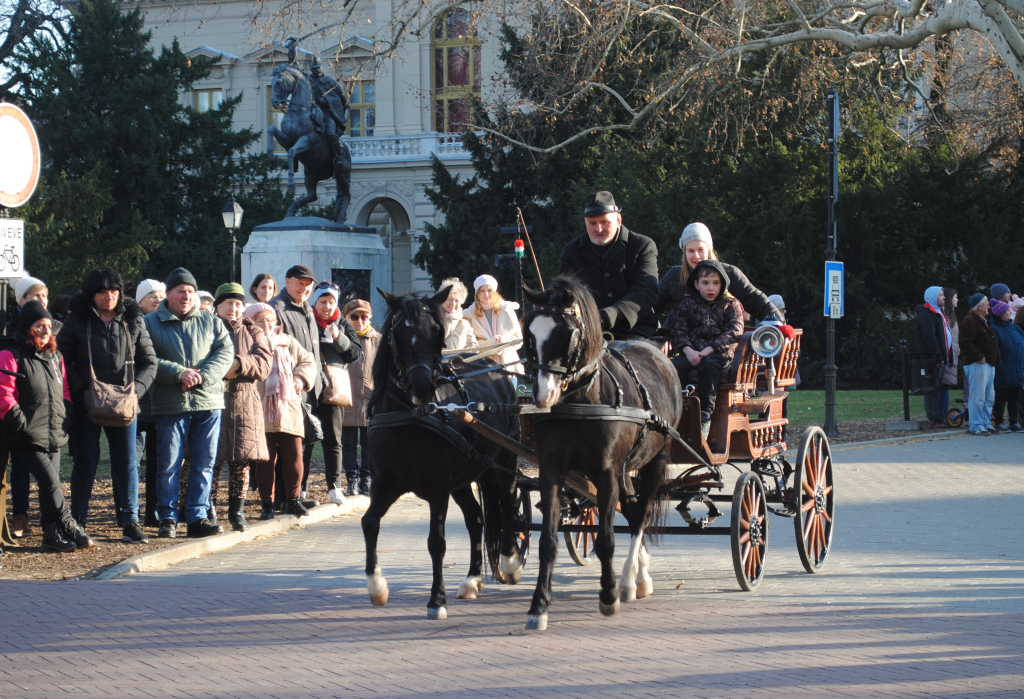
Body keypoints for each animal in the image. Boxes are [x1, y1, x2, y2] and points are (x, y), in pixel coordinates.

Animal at [360, 286, 524, 622]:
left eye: (437, 331)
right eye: (399, 333)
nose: (422, 387)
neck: (411, 416)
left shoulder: (438, 488)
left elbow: (436, 542)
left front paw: (436, 600)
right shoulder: (384, 483)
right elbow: (369, 523)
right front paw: (376, 585)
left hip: (503, 463)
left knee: (508, 504)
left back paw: (510, 561)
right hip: (463, 478)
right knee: (476, 518)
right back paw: (472, 580)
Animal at [524, 276, 684, 630]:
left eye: (567, 335)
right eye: (529, 333)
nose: (543, 395)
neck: (582, 400)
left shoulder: (608, 472)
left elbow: (607, 539)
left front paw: (609, 595)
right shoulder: (552, 470)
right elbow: (547, 541)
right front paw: (538, 606)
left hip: (655, 460)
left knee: (641, 515)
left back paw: (628, 581)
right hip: (626, 470)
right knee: (634, 509)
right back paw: (639, 573)